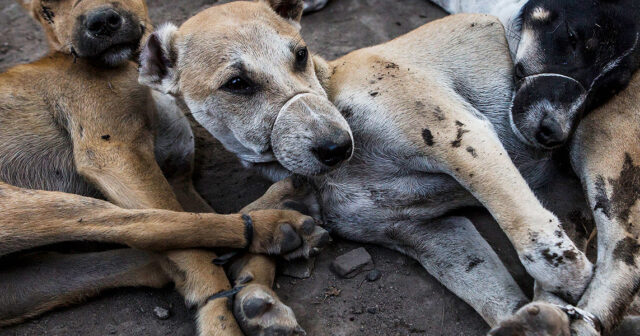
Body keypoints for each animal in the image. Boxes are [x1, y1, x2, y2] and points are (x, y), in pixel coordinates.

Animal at [1, 0, 330, 336]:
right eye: (47, 10)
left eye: (301, 55)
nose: (102, 21)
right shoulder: (115, 154)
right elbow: (184, 240)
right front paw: (222, 321)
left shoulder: (178, 180)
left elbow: (192, 224)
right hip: (19, 207)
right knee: (144, 227)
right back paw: (276, 220)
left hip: (26, 285)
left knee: (155, 256)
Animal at [139, 0, 640, 334]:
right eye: (237, 84)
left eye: (300, 54)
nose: (335, 146)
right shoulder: (435, 235)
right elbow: (492, 291)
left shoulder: (461, 136)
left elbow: (523, 221)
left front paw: (562, 278)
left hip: (606, 156)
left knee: (621, 260)